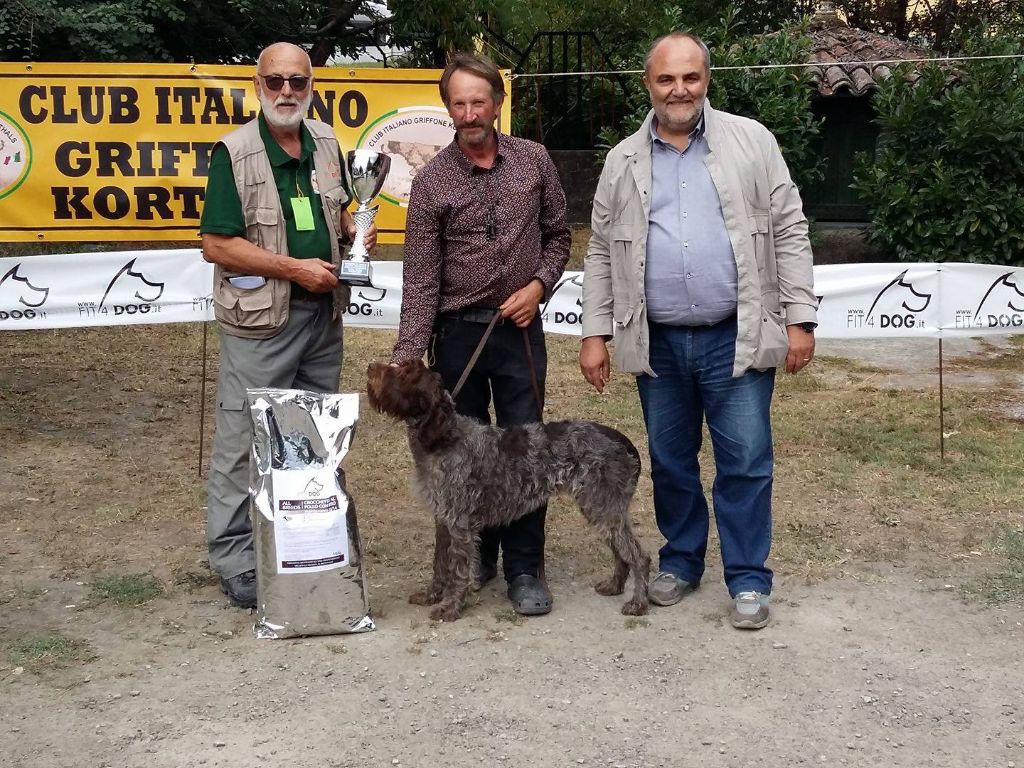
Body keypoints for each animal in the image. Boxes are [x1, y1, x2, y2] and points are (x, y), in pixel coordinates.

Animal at [366, 358, 647, 622]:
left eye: (405, 374)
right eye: (403, 366)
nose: (371, 368)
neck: (444, 438)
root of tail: (627, 444)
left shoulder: (459, 523)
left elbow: (457, 569)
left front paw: (450, 607)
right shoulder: (443, 519)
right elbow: (440, 563)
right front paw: (431, 595)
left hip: (603, 508)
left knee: (638, 556)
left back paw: (638, 603)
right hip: (601, 510)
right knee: (622, 552)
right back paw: (615, 586)